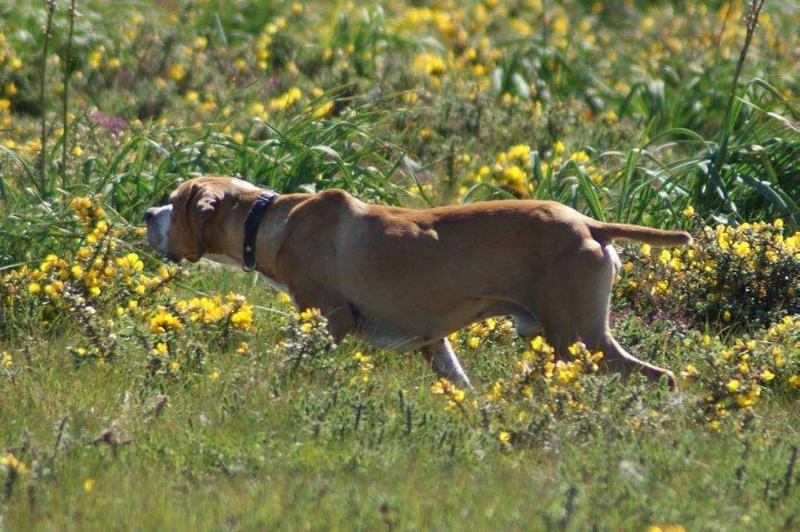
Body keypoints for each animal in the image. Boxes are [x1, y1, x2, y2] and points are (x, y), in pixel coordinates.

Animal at [147, 177, 692, 388]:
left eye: (173, 202)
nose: (148, 214)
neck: (270, 219)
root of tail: (590, 225)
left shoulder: (330, 317)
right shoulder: (435, 342)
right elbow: (462, 385)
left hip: (578, 335)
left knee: (660, 376)